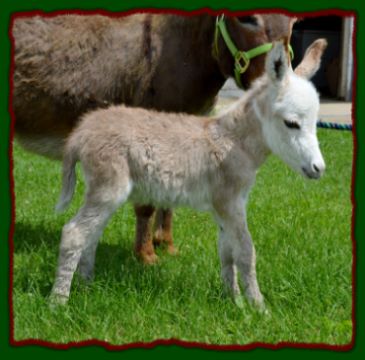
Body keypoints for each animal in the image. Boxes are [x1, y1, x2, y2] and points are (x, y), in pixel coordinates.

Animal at [50, 40, 324, 308]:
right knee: (74, 233)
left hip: (106, 191)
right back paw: (59, 302)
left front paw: (234, 300)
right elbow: (246, 251)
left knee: (91, 234)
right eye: (291, 123)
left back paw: (86, 285)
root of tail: (82, 131)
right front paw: (259, 308)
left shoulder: (224, 207)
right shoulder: (229, 202)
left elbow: (227, 252)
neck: (235, 142)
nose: (319, 169)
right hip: (108, 187)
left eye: (314, 122)